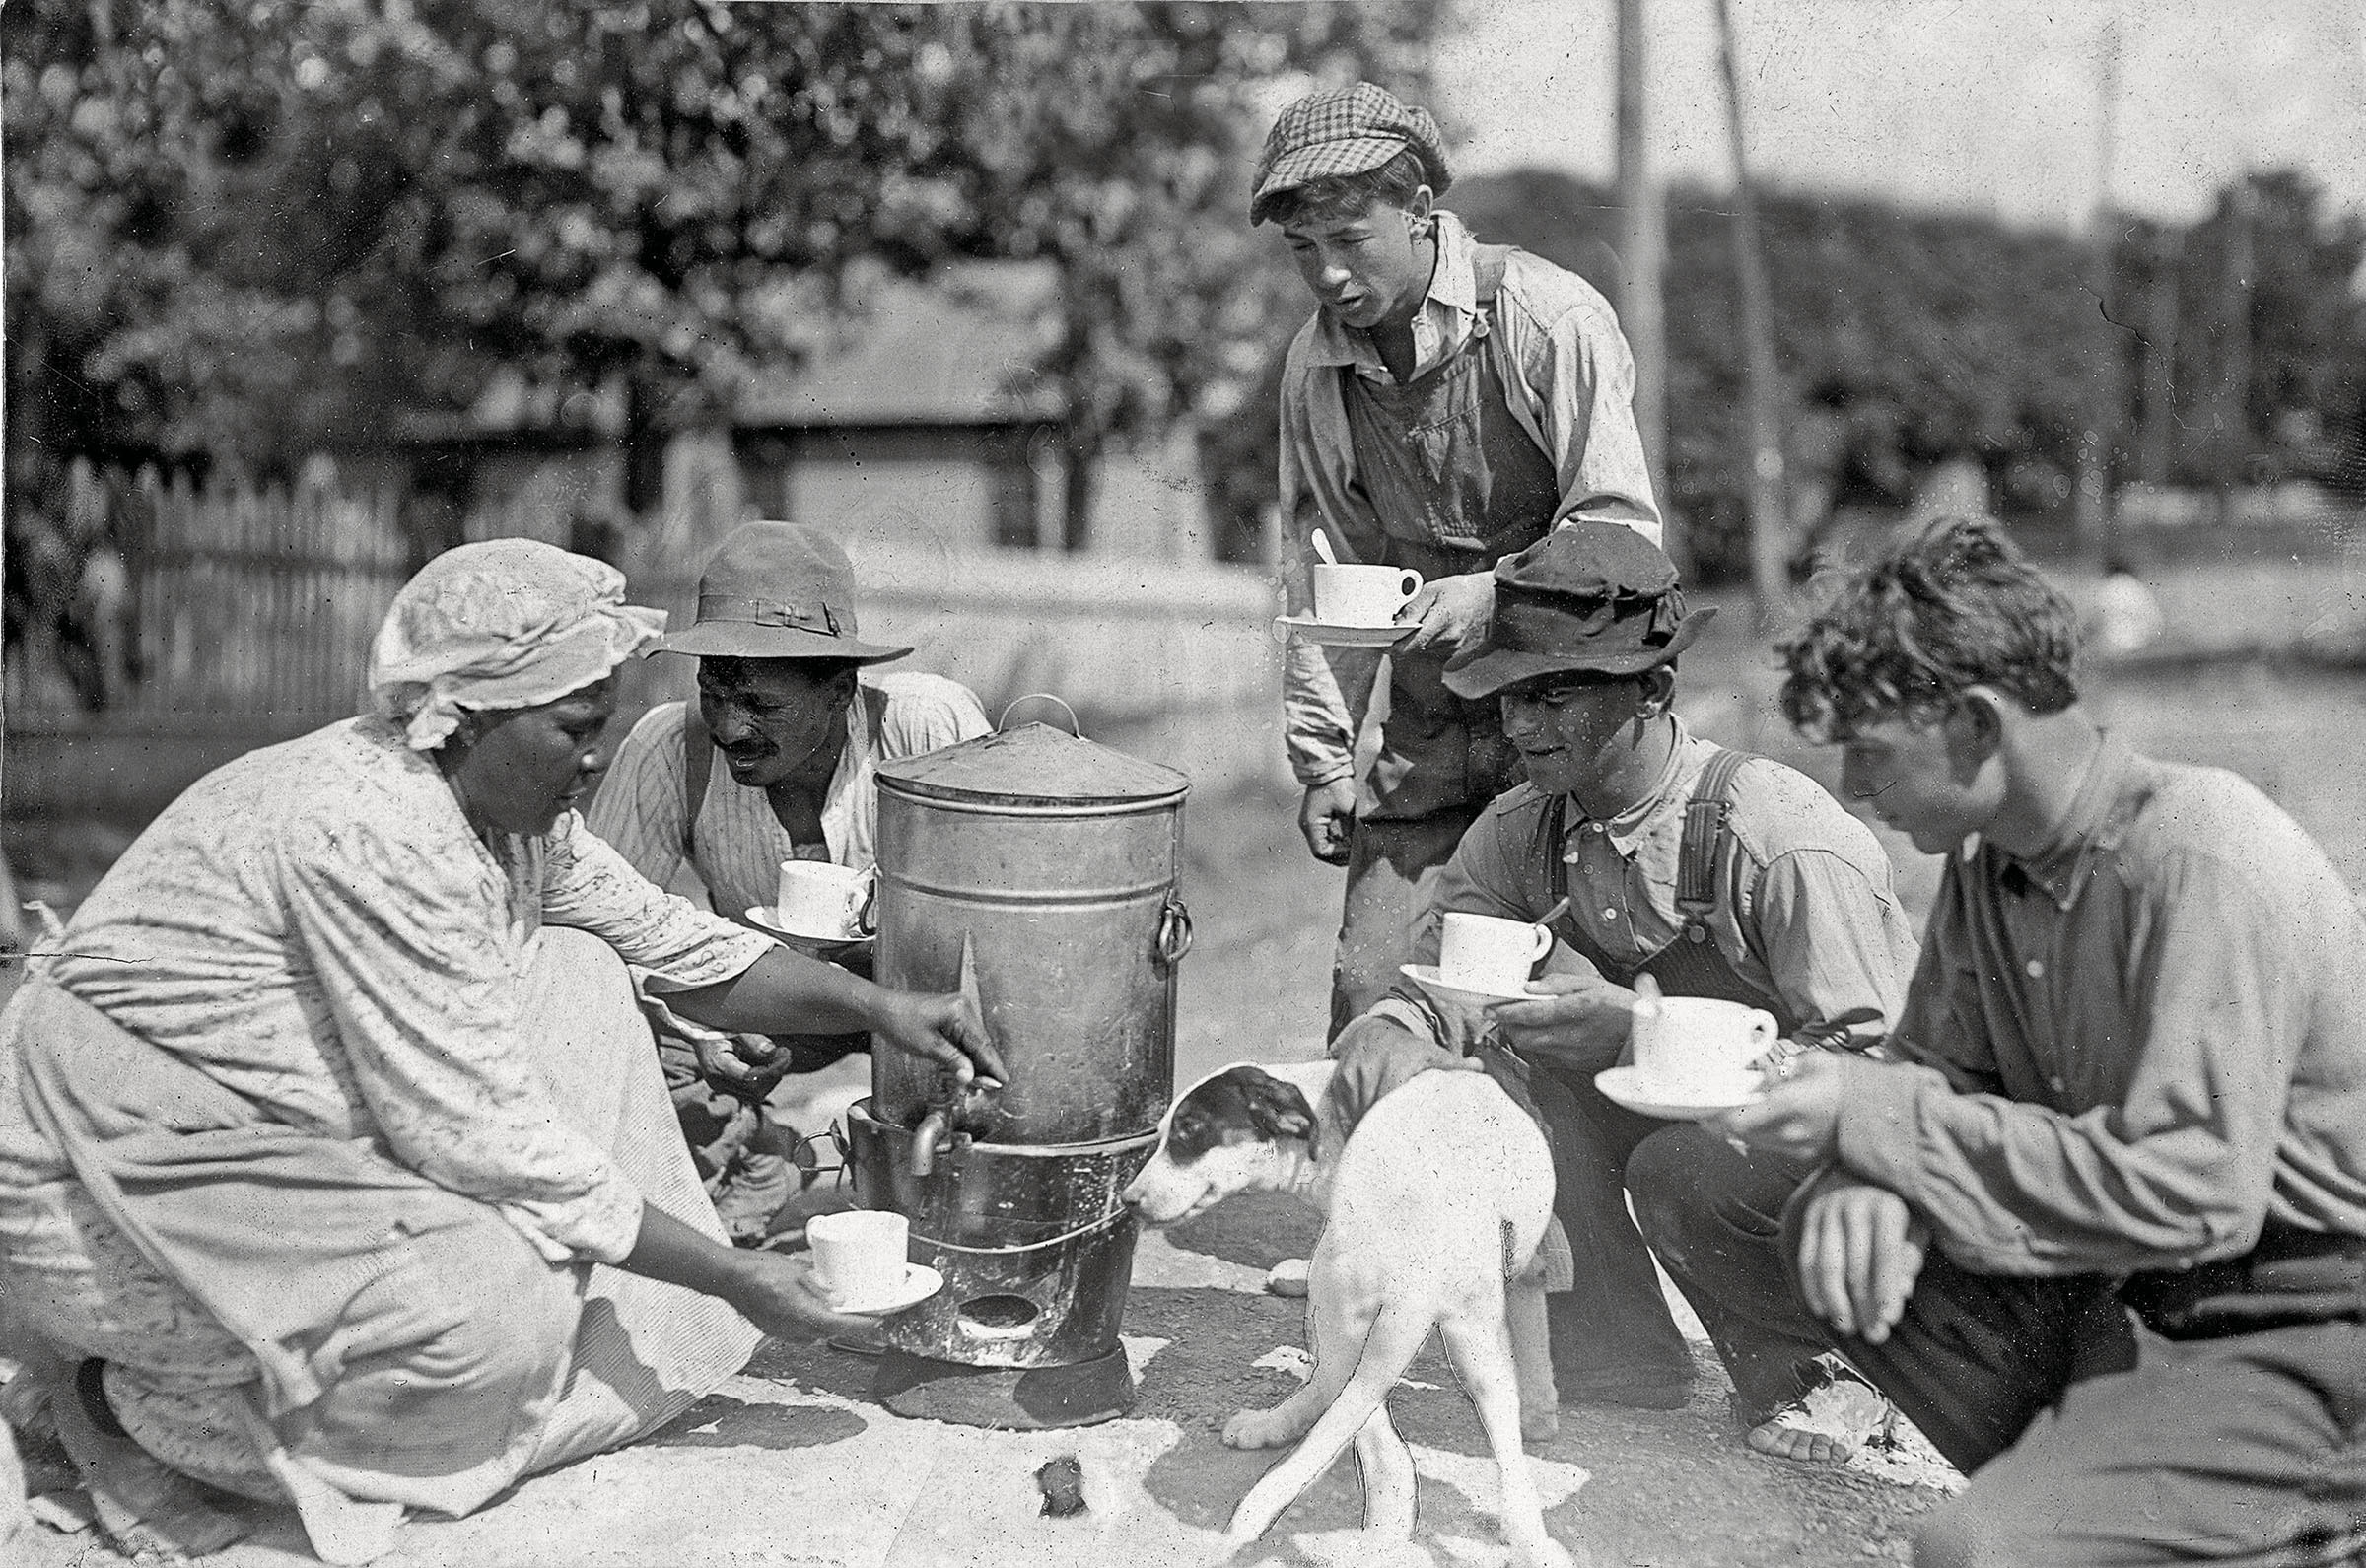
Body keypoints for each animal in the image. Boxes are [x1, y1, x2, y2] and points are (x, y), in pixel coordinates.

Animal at [1116, 1068, 1580, 1568]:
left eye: (1189, 1132)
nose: (1127, 1200)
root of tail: (1420, 1256)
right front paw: (1539, 1413)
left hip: (1344, 1294)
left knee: (1361, 1413)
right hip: (1465, 1333)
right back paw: (1525, 1538)